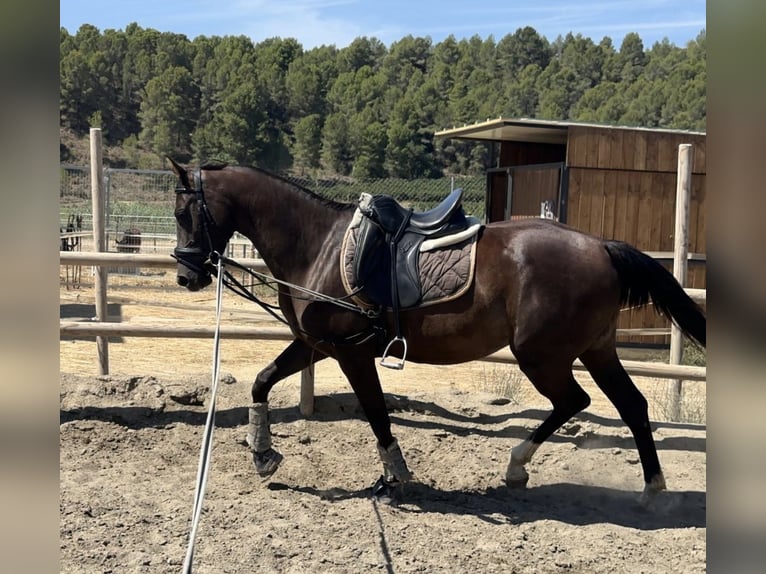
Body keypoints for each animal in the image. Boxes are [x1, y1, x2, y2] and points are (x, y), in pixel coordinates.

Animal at [170, 160, 708, 506]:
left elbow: (376, 414)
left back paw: (518, 465)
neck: (317, 245)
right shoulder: (315, 345)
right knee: (631, 405)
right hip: (596, 350)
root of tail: (601, 245)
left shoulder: (351, 354)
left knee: (574, 402)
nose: (185, 276)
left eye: (181, 213)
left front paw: (396, 478)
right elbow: (263, 381)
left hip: (541, 355)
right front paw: (263, 454)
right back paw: (651, 488)